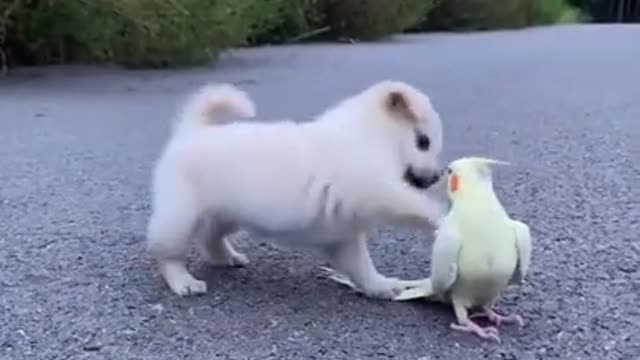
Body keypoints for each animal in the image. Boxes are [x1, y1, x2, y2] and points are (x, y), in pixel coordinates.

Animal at [147, 80, 442, 300]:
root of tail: (192, 131)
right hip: (181, 217)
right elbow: (415, 205)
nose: (438, 175)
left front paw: (382, 286)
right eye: (423, 142)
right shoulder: (376, 190)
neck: (372, 135)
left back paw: (227, 257)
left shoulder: (345, 235)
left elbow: (363, 268)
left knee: (210, 238)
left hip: (226, 214)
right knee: (167, 253)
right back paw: (183, 281)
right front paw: (440, 222)